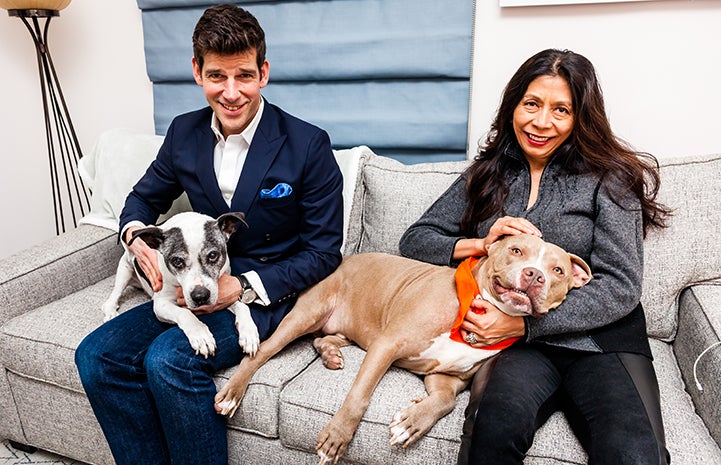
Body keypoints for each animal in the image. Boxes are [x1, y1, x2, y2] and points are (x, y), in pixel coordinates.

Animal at [101, 211, 258, 358]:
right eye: (177, 261)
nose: (200, 296)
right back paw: (110, 309)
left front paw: (248, 332)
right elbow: (184, 312)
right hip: (125, 269)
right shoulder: (161, 305)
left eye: (213, 255)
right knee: (115, 292)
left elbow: (242, 306)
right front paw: (200, 334)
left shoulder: (223, 292)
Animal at [212, 234, 592, 462]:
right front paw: (337, 436)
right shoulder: (387, 345)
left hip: (348, 326)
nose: (534, 275)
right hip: (306, 315)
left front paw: (412, 422)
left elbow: (445, 402)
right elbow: (358, 396)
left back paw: (331, 353)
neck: (477, 308)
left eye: (557, 270)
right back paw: (233, 392)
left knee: (326, 338)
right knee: (262, 351)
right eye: (516, 251)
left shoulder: (446, 378)